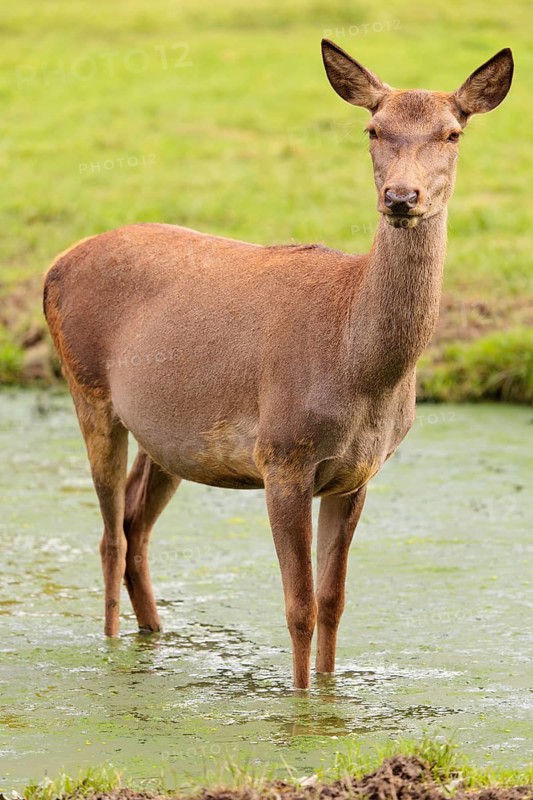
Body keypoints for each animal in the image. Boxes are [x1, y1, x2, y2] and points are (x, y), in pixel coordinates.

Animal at [43, 40, 513, 689]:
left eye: (452, 133)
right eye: (372, 128)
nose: (400, 198)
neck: (361, 370)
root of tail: (52, 267)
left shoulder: (359, 472)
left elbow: (334, 602)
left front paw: (330, 691)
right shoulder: (282, 455)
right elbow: (299, 606)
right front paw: (299, 702)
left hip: (168, 434)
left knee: (136, 524)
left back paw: (156, 635)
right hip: (87, 387)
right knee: (110, 535)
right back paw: (114, 651)